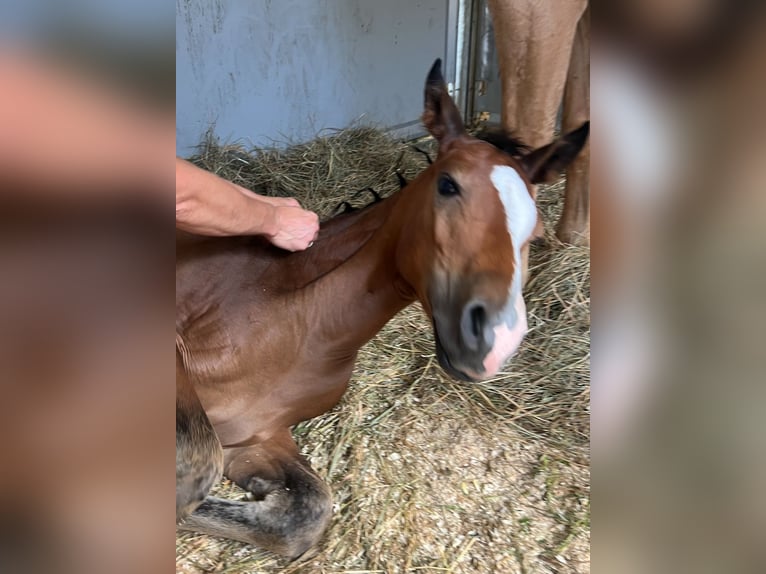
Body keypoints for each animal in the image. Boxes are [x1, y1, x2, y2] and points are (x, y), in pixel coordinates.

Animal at [177, 58, 592, 560]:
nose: (495, 339)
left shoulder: (258, 434)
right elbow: (192, 474)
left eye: (535, 227)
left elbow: (305, 511)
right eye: (448, 185)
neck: (302, 321)